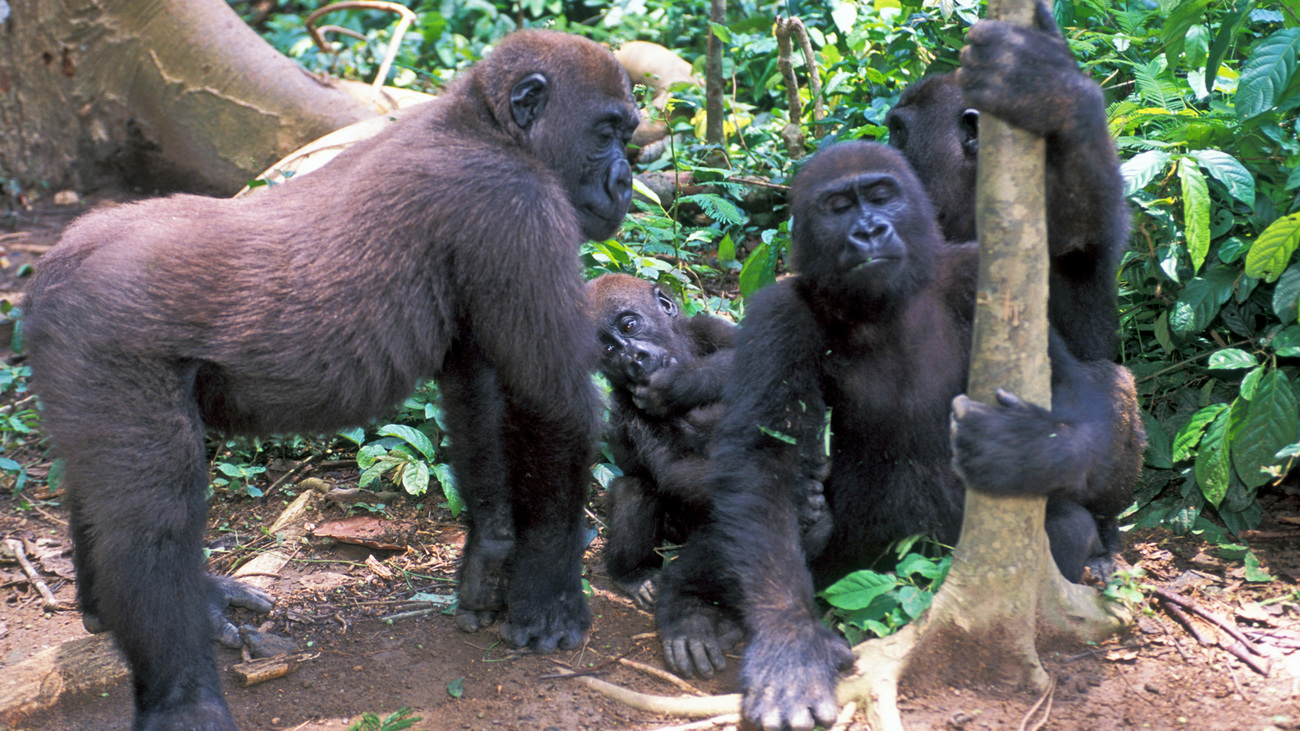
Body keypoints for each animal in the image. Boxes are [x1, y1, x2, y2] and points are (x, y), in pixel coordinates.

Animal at [24, 29, 639, 728]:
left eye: (627, 133)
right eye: (605, 132)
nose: (626, 180)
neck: (481, 123)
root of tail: (58, 261)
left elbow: (479, 395)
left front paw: (493, 551)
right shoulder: (518, 204)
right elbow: (554, 406)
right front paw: (551, 592)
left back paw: (131, 605)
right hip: (107, 343)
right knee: (151, 524)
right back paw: (186, 700)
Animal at [655, 7, 1144, 728]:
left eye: (898, 132)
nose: (874, 141)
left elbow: (1082, 249)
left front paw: (1049, 87)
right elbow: (762, 424)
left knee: (1107, 412)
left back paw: (1102, 543)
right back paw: (691, 602)